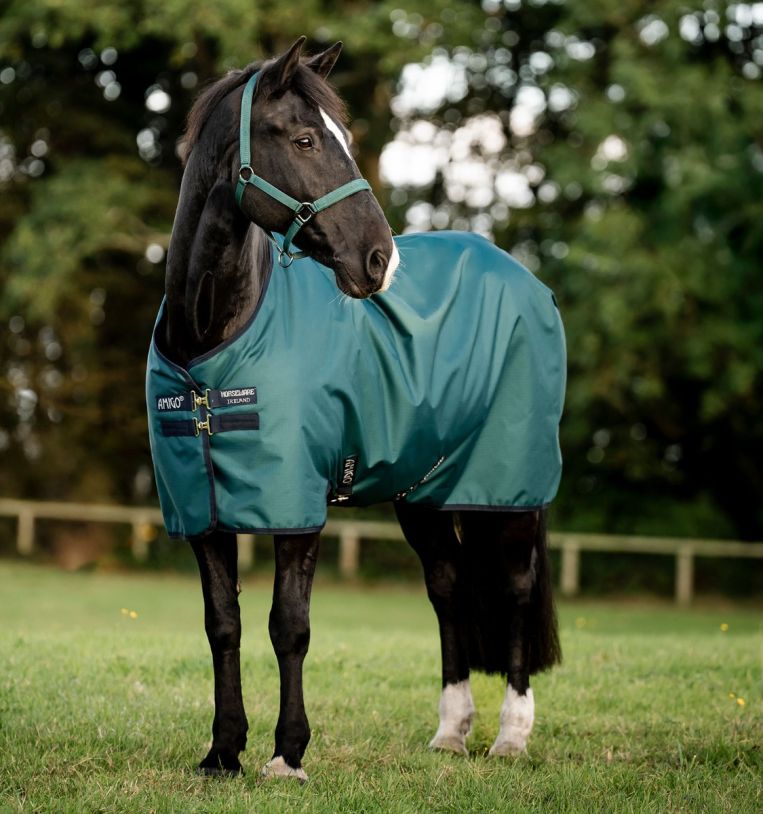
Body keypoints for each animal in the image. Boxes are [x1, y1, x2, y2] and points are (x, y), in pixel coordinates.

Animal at [146, 37, 564, 780]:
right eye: (306, 138)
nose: (379, 260)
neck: (211, 346)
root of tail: (524, 278)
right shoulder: (201, 509)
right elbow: (223, 624)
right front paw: (223, 751)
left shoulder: (297, 506)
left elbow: (289, 625)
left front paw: (287, 754)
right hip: (424, 493)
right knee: (448, 587)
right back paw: (451, 731)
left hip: (510, 489)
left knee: (514, 589)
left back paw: (511, 735)